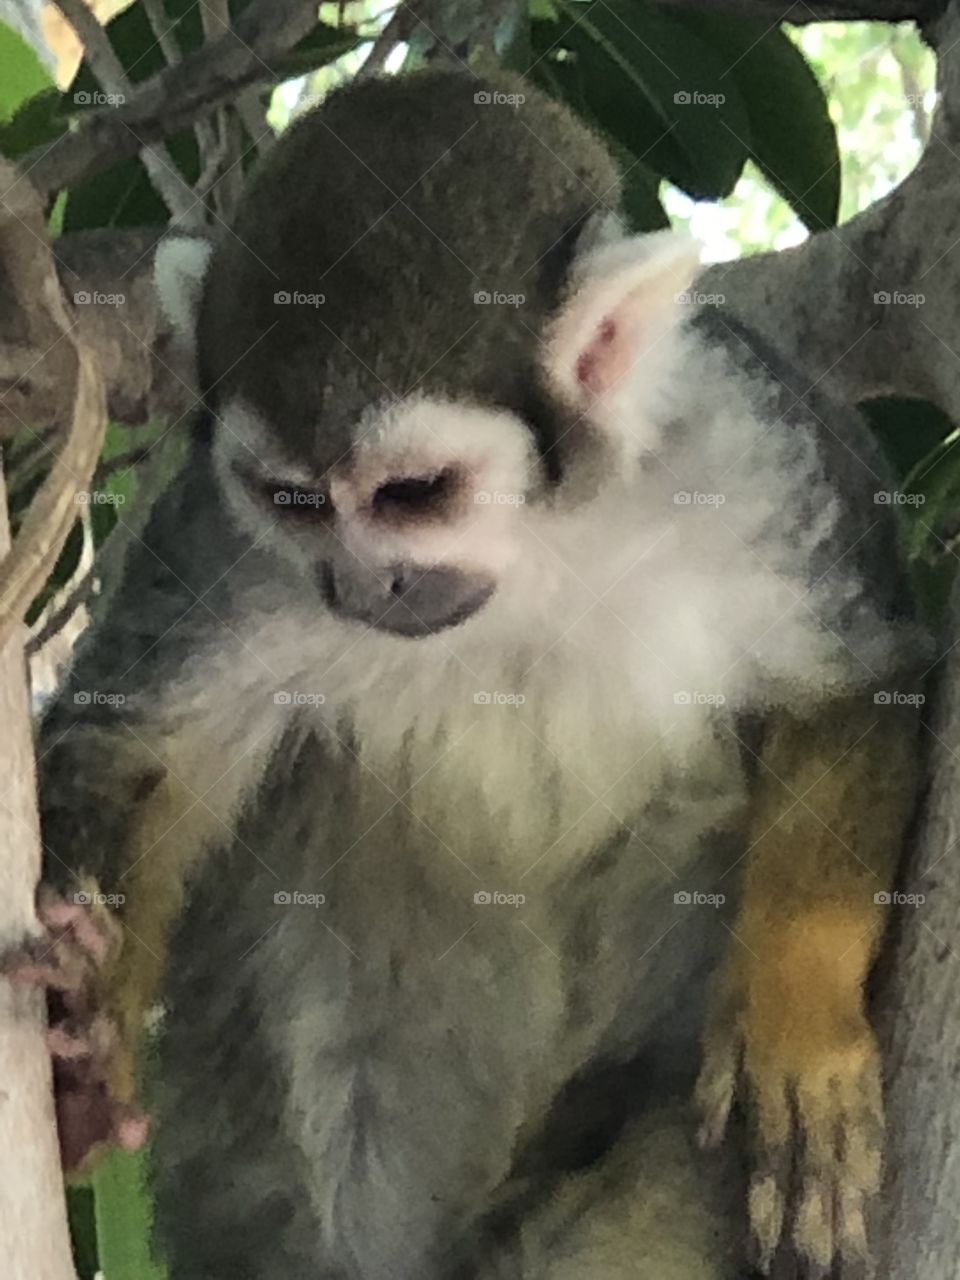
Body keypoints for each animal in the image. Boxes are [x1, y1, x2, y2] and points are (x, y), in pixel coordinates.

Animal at [24, 68, 925, 1278]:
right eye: (294, 500)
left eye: (414, 493)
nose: (364, 588)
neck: (532, 549)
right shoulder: (226, 537)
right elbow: (131, 750)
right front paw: (76, 1051)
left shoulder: (755, 452)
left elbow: (854, 681)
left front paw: (796, 1010)